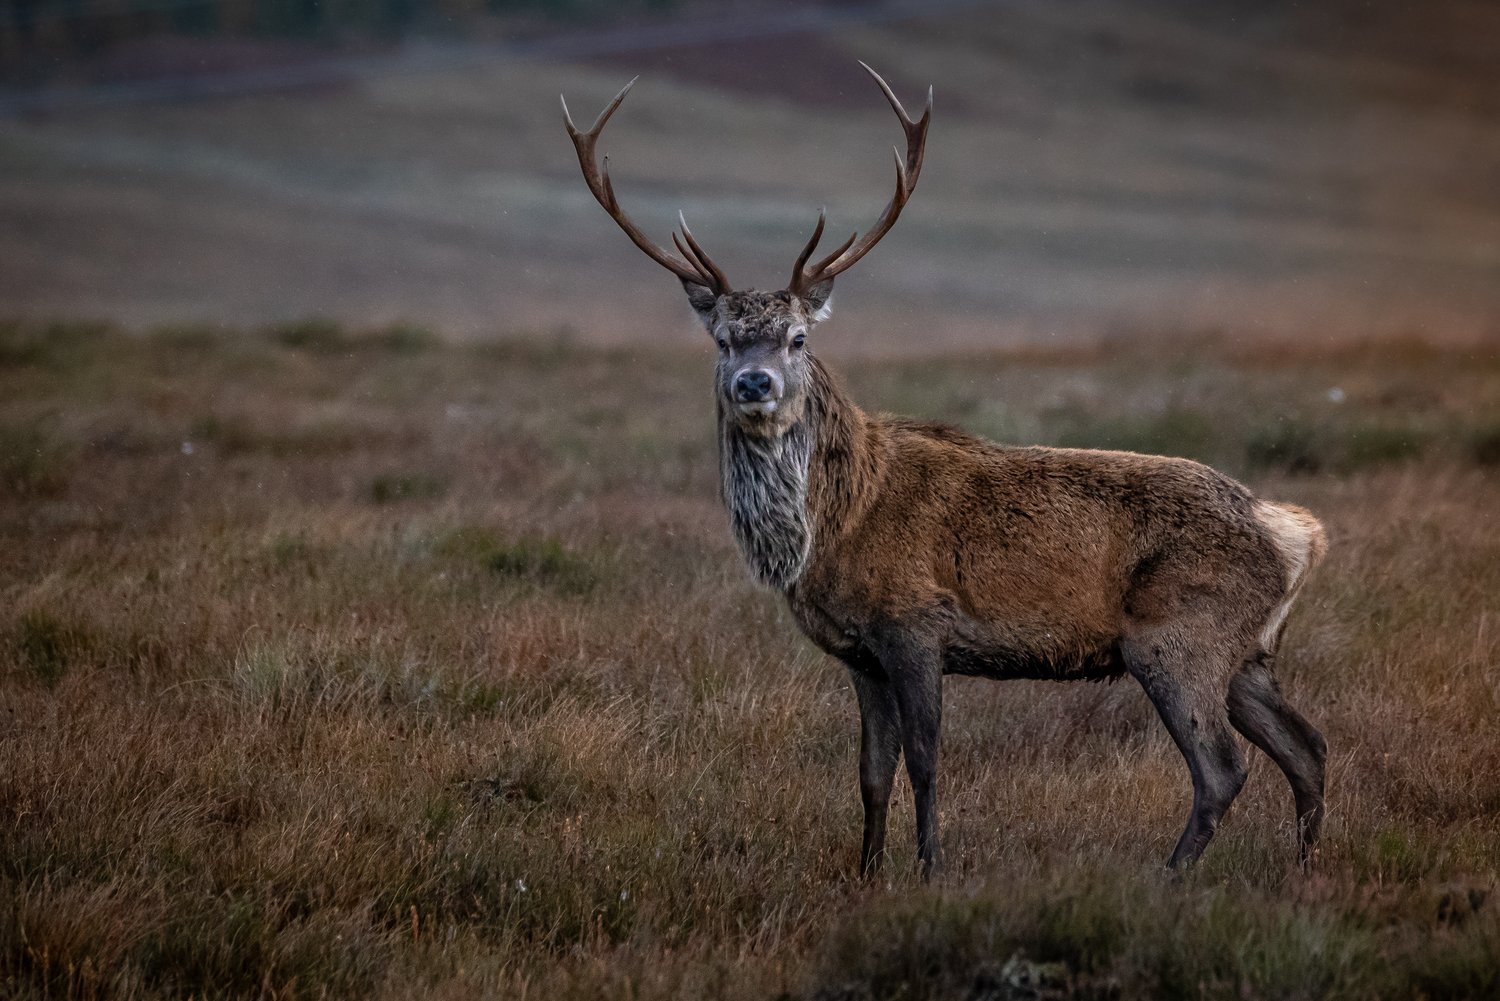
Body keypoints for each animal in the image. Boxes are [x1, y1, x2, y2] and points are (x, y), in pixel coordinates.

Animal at [562, 64, 1329, 879]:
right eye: (723, 339)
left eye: (798, 338)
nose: (754, 383)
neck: (832, 526)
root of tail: (1294, 533)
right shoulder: (859, 652)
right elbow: (871, 771)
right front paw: (866, 872)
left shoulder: (915, 623)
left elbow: (926, 761)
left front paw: (930, 870)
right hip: (1247, 654)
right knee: (1307, 747)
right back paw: (1301, 867)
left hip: (1180, 638)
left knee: (1222, 767)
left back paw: (1169, 877)